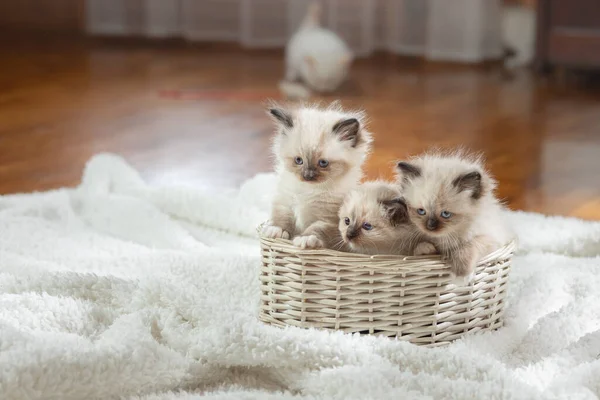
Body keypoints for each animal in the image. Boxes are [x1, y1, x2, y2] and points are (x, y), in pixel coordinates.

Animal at [264, 101, 372, 248]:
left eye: (323, 163)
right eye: (298, 160)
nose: (307, 176)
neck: (308, 190)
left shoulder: (328, 219)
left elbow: (316, 228)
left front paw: (305, 239)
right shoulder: (285, 201)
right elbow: (281, 217)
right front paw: (276, 230)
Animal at [396, 151, 512, 284]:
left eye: (445, 214)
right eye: (421, 211)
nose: (430, 226)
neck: (444, 239)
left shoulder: (493, 240)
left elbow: (468, 246)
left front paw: (461, 276)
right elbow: (420, 249)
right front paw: (427, 249)